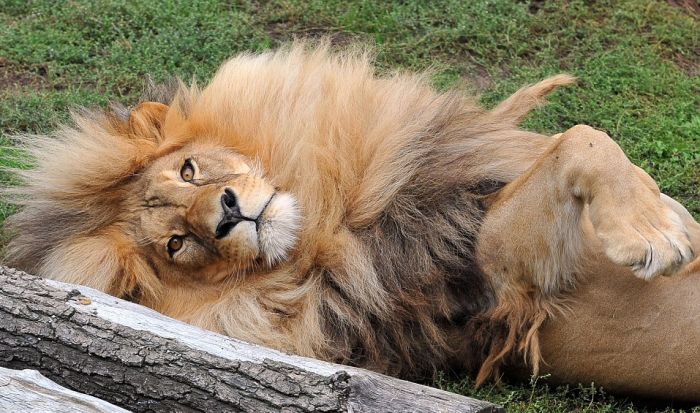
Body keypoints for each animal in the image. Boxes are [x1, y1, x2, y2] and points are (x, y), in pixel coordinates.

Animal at [5, 42, 700, 400]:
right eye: (177, 245)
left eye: (190, 170)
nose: (226, 216)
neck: (332, 215)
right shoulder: (506, 282)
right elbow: (580, 141)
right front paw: (655, 236)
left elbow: (592, 140)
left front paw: (661, 214)